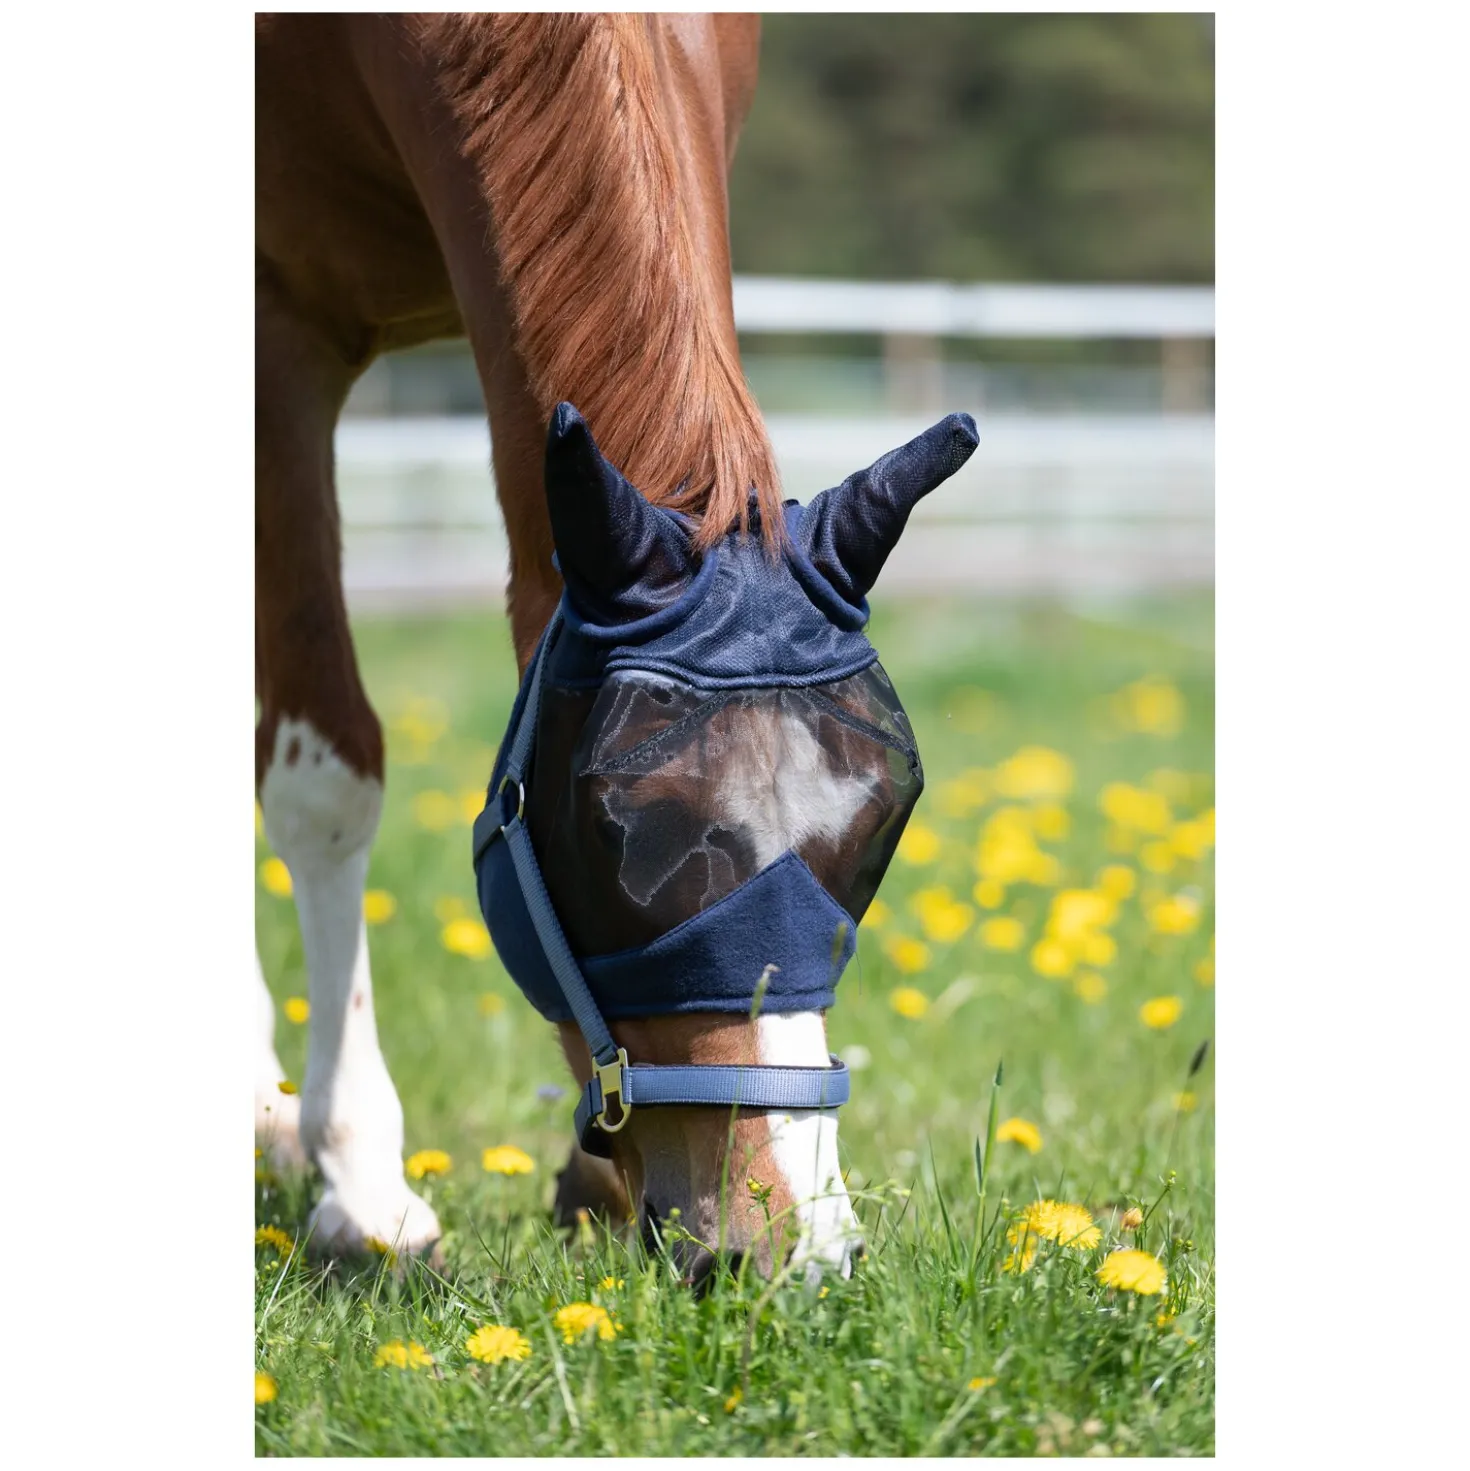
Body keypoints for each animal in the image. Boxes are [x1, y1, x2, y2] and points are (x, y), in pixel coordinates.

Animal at [254, 13, 976, 1283]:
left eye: (881, 821)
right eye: (610, 833)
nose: (789, 1248)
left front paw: (590, 1176)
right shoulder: (276, 321)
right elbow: (325, 776)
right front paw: (361, 1182)